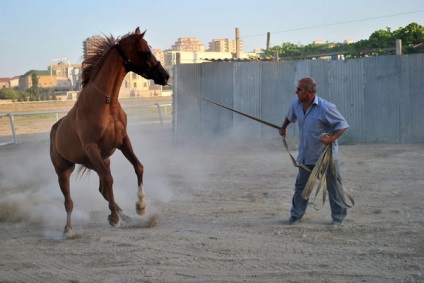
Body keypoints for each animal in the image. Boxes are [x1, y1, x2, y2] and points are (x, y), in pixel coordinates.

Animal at [48, 27, 168, 239]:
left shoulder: (122, 141)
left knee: (103, 188)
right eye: (146, 53)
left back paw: (126, 217)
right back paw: (69, 229)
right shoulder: (92, 148)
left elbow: (138, 167)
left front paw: (140, 207)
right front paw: (114, 218)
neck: (105, 103)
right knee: (70, 200)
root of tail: (55, 130)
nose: (165, 75)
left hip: (100, 162)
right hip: (65, 169)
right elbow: (110, 180)